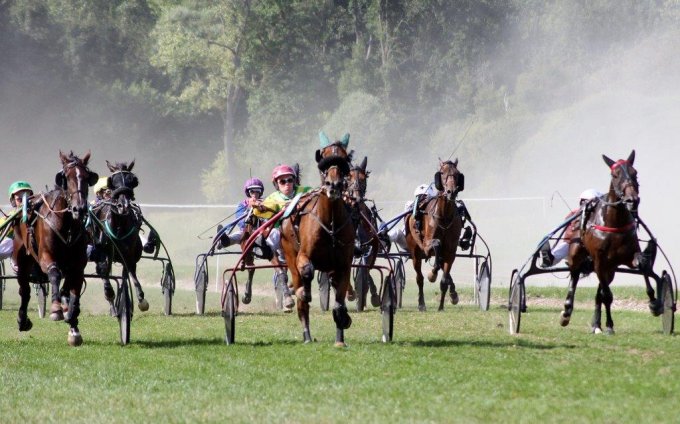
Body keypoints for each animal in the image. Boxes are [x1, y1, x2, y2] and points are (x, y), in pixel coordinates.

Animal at [11, 151, 97, 346]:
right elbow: (54, 273)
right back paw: (22, 319)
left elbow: (74, 289)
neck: (67, 225)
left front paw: (73, 324)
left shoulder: (78, 264)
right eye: (66, 177)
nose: (79, 208)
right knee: (24, 290)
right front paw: (57, 309)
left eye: (87, 177)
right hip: (22, 256)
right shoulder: (46, 257)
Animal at [91, 159, 149, 312]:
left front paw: (140, 299)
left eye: (133, 181)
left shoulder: (129, 254)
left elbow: (131, 273)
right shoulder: (102, 251)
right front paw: (110, 296)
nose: (123, 205)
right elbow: (104, 271)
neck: (119, 227)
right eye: (112, 181)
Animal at [280, 154, 356, 346]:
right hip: (289, 255)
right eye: (323, 170)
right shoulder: (303, 256)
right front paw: (304, 292)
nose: (333, 185)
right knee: (301, 302)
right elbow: (307, 271)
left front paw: (340, 337)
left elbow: (339, 305)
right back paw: (307, 335)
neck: (331, 225)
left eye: (343, 169)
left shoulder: (344, 265)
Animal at [406, 159, 464, 312]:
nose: (451, 192)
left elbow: (444, 278)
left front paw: (441, 306)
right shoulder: (427, 246)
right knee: (419, 278)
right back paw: (421, 304)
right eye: (442, 173)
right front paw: (432, 274)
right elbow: (436, 244)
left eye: (457, 174)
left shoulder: (450, 251)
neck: (444, 217)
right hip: (415, 252)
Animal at [564, 150, 652, 334]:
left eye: (635, 173)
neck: (614, 222)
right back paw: (567, 311)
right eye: (615, 175)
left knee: (599, 293)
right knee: (575, 275)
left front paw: (655, 302)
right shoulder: (599, 261)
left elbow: (642, 262)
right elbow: (607, 295)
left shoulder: (627, 256)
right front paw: (610, 325)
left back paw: (597, 325)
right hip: (577, 252)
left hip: (611, 269)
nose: (632, 200)